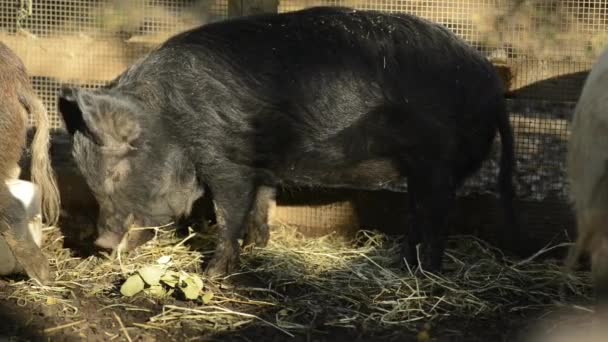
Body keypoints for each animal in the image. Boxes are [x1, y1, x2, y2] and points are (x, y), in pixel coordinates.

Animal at [57, 6, 516, 276]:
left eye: (116, 173)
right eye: (90, 177)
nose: (99, 244)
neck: (174, 122)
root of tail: (493, 87)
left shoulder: (228, 161)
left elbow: (229, 212)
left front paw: (211, 274)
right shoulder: (262, 164)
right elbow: (262, 203)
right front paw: (259, 247)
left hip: (438, 164)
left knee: (436, 218)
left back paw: (423, 273)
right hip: (425, 169)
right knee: (420, 214)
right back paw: (405, 262)